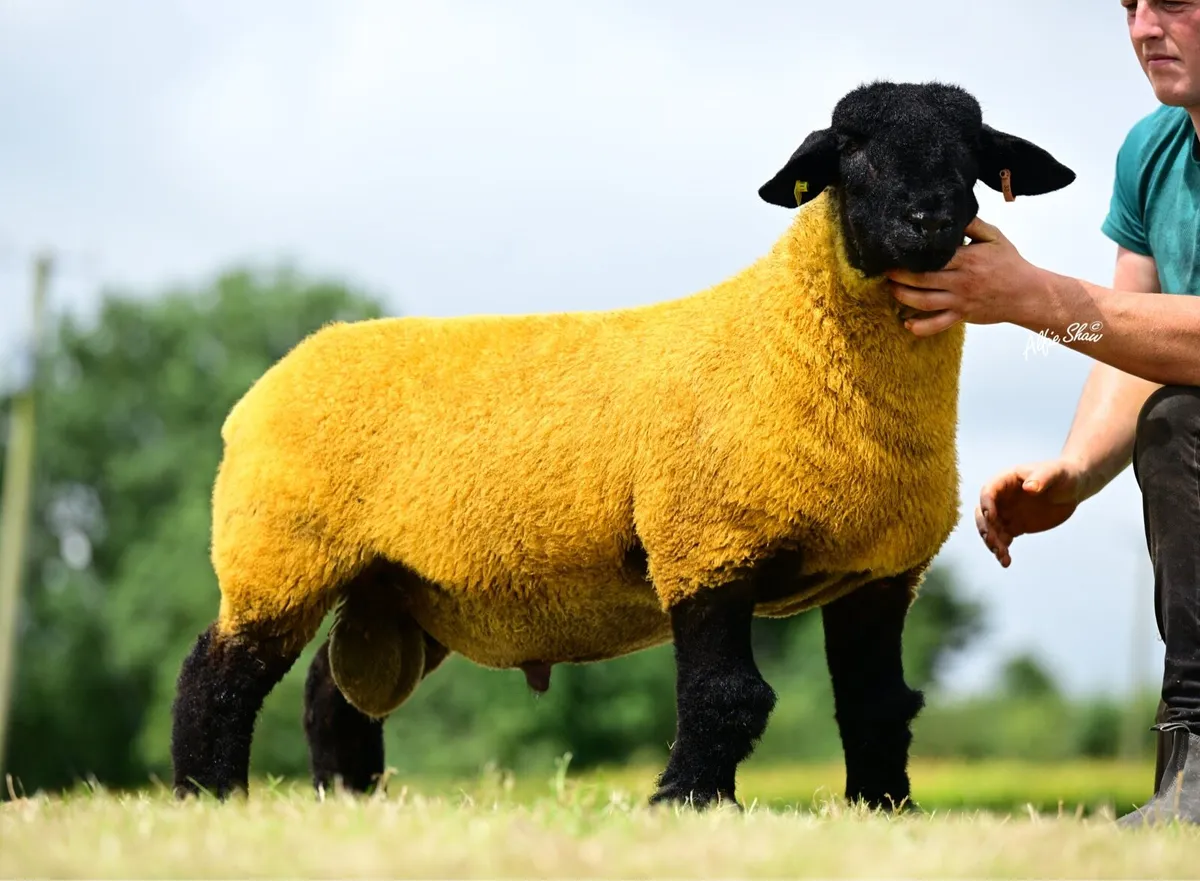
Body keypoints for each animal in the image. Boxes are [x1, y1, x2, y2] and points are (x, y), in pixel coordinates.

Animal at [170, 80, 1075, 810]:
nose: (928, 218)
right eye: (852, 153)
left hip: (385, 585)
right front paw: (687, 803)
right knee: (215, 677)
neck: (786, 342)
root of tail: (273, 379)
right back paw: (207, 797)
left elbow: (878, 702)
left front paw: (884, 808)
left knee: (332, 694)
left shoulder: (880, 571)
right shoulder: (705, 543)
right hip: (278, 552)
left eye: (970, 159)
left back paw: (346, 801)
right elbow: (727, 695)